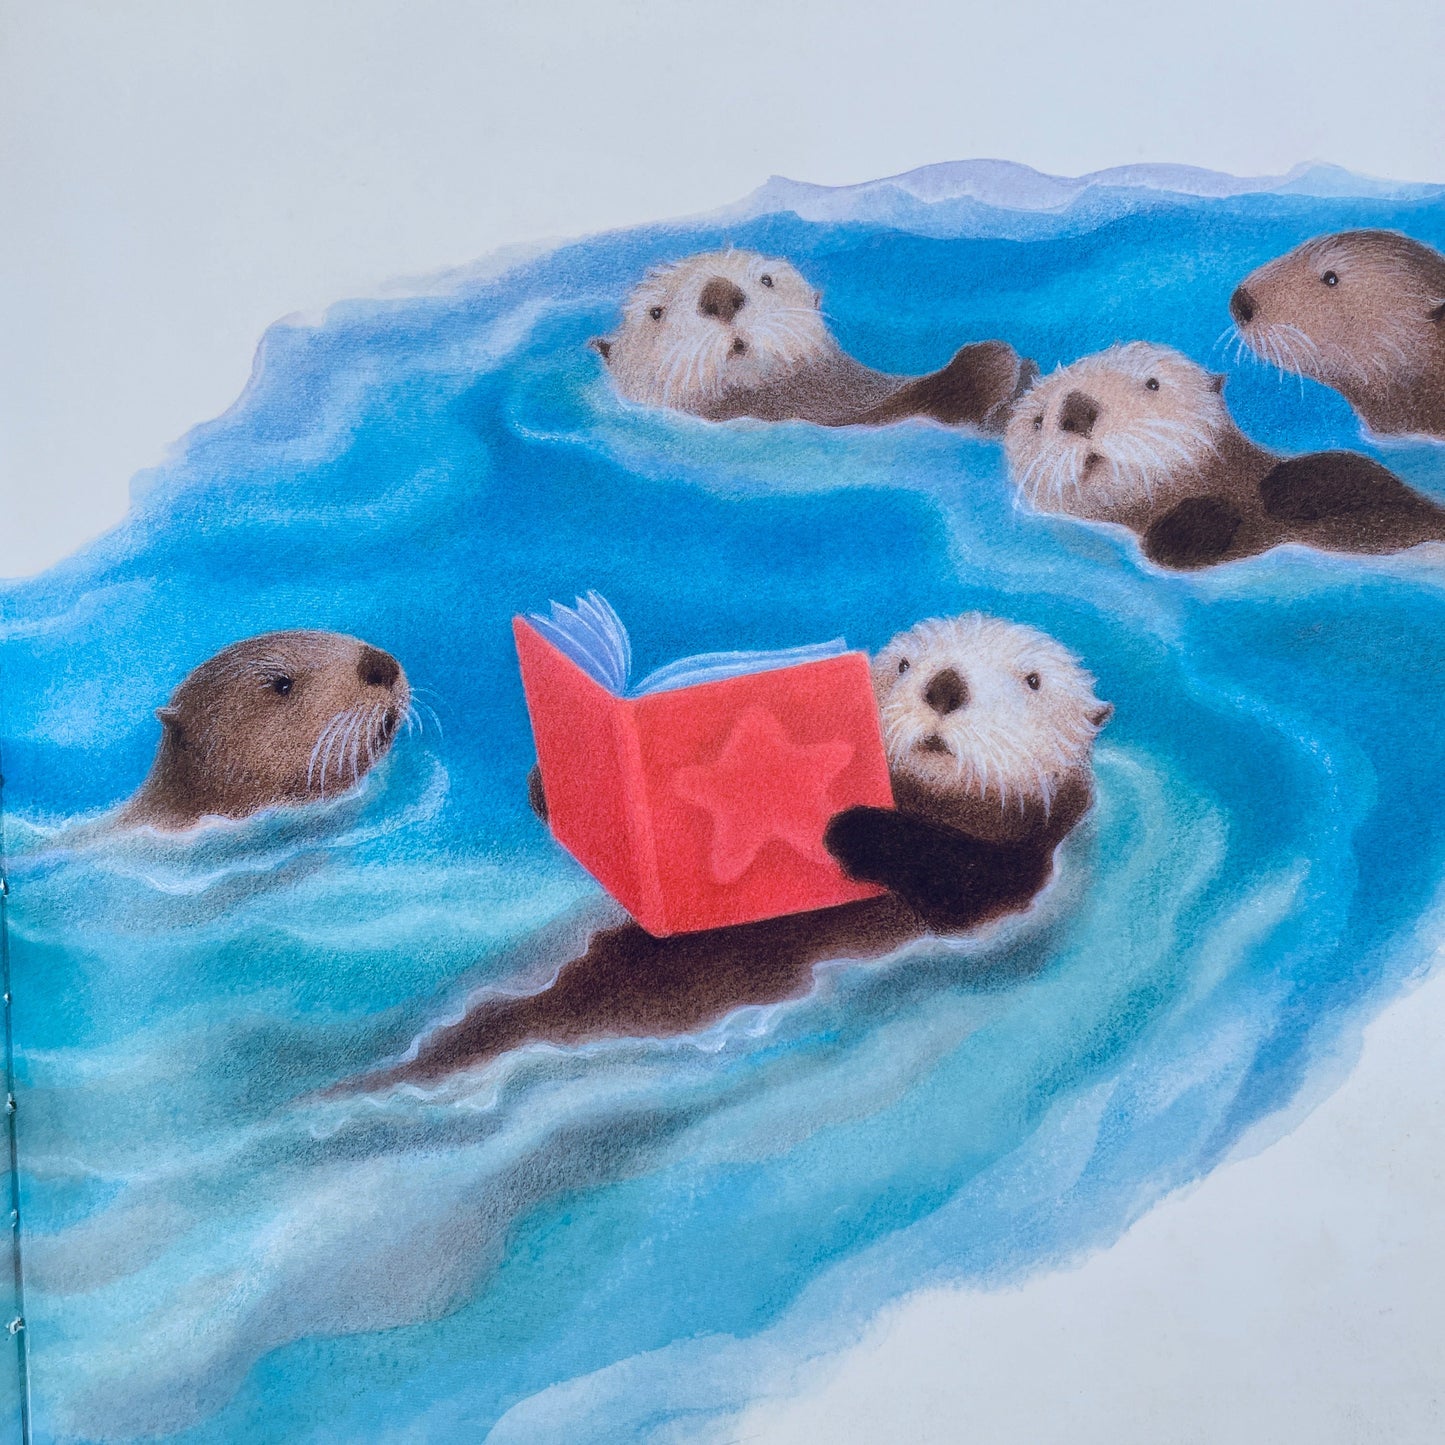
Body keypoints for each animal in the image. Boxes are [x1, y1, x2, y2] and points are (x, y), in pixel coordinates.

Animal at [355, 615, 1110, 1090]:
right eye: (902, 664)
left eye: (1033, 681)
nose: (944, 685)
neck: (933, 802)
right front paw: (561, 781)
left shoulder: (1020, 869)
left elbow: (958, 881)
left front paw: (849, 824)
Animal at [1003, 341, 1445, 570]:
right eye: (1038, 420)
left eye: (1152, 383)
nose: (1077, 411)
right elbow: (1169, 547)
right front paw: (1203, 516)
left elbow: (1367, 481)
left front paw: (1290, 486)